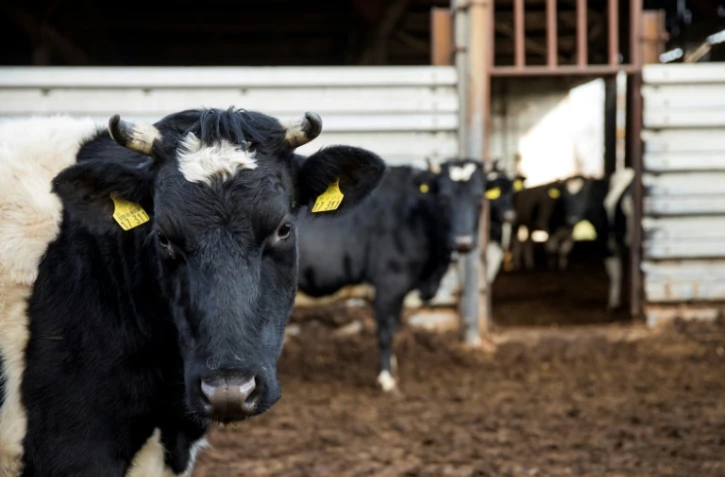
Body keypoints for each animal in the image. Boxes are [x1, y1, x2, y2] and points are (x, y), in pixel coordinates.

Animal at [296, 158, 486, 392]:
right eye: (444, 198)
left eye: (479, 198)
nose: (463, 242)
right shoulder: (389, 284)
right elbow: (386, 330)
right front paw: (386, 378)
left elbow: (395, 326)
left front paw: (392, 368)